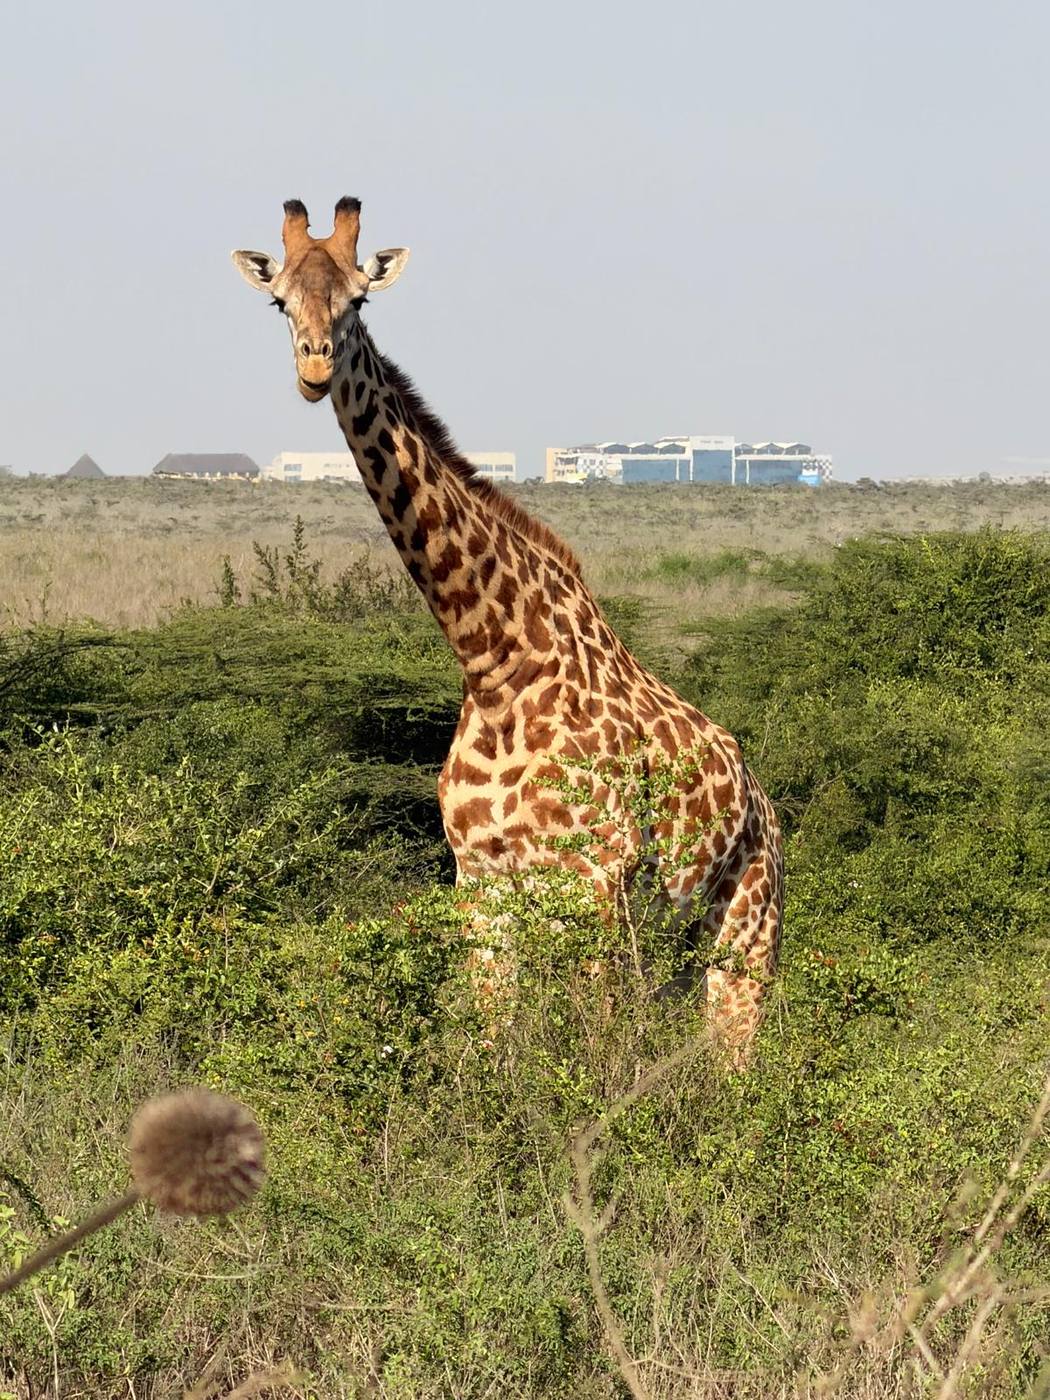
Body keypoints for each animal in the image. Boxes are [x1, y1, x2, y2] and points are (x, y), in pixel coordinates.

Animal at [232, 197, 783, 1058]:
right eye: (280, 303)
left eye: (359, 300)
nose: (315, 371)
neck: (494, 665)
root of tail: (764, 802)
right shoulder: (481, 883)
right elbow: (489, 1049)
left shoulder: (595, 881)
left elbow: (592, 1054)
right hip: (681, 936)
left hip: (748, 927)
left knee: (738, 1057)